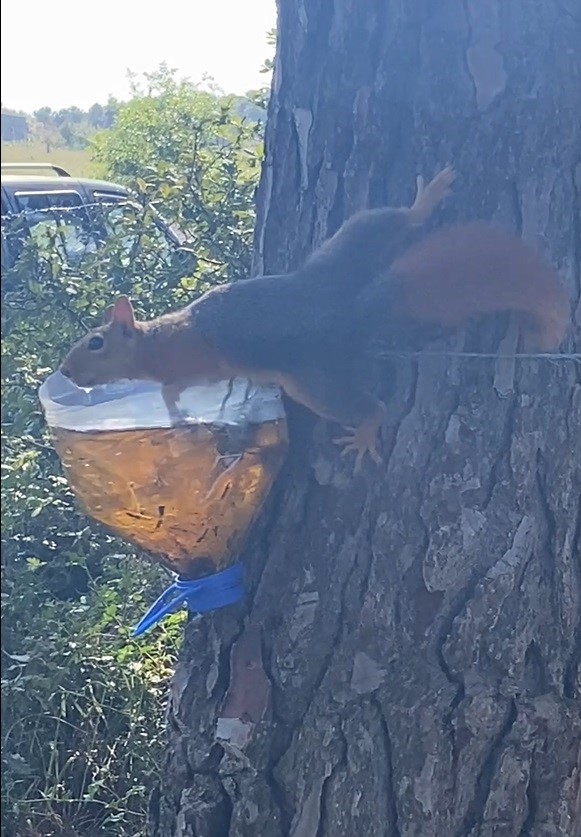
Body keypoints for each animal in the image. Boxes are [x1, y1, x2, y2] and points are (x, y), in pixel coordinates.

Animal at [61, 167, 568, 470]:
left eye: (96, 342)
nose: (66, 371)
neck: (153, 341)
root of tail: (352, 310)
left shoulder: (188, 364)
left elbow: (173, 390)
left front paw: (174, 414)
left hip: (315, 383)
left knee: (371, 405)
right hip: (342, 256)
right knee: (390, 225)